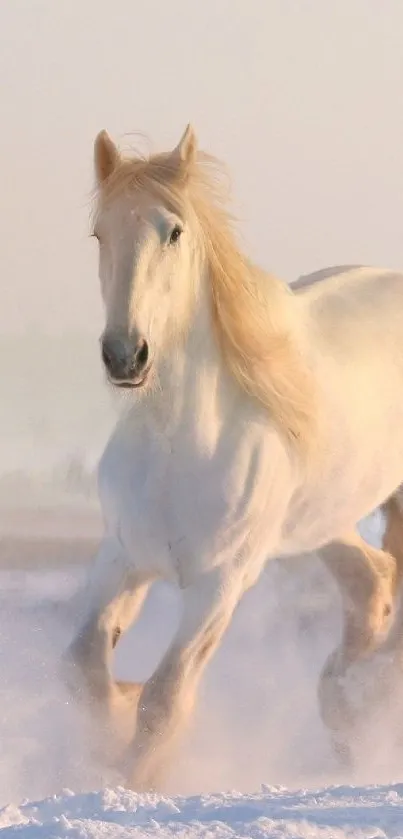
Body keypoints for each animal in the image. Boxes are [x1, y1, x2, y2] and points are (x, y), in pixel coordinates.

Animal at [65, 123, 403, 788]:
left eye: (173, 231)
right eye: (99, 233)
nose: (125, 355)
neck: (179, 445)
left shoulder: (220, 584)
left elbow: (165, 699)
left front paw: (133, 779)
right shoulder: (122, 557)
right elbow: (84, 668)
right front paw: (114, 719)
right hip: (324, 518)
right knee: (373, 580)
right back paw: (347, 706)